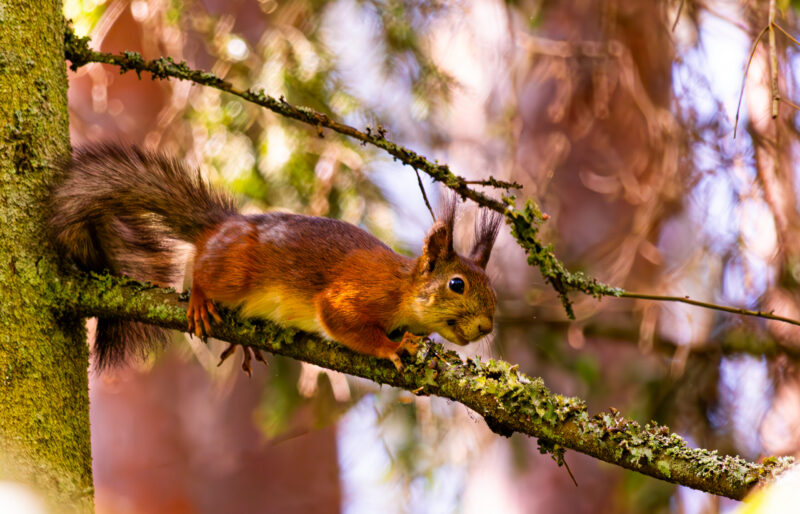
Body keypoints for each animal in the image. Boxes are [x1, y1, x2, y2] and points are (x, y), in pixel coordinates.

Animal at [49, 144, 501, 374]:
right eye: (456, 284)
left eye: (492, 290)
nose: (486, 327)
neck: (402, 289)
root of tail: (222, 227)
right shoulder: (356, 293)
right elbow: (341, 321)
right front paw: (393, 347)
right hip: (232, 272)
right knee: (201, 269)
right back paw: (199, 299)